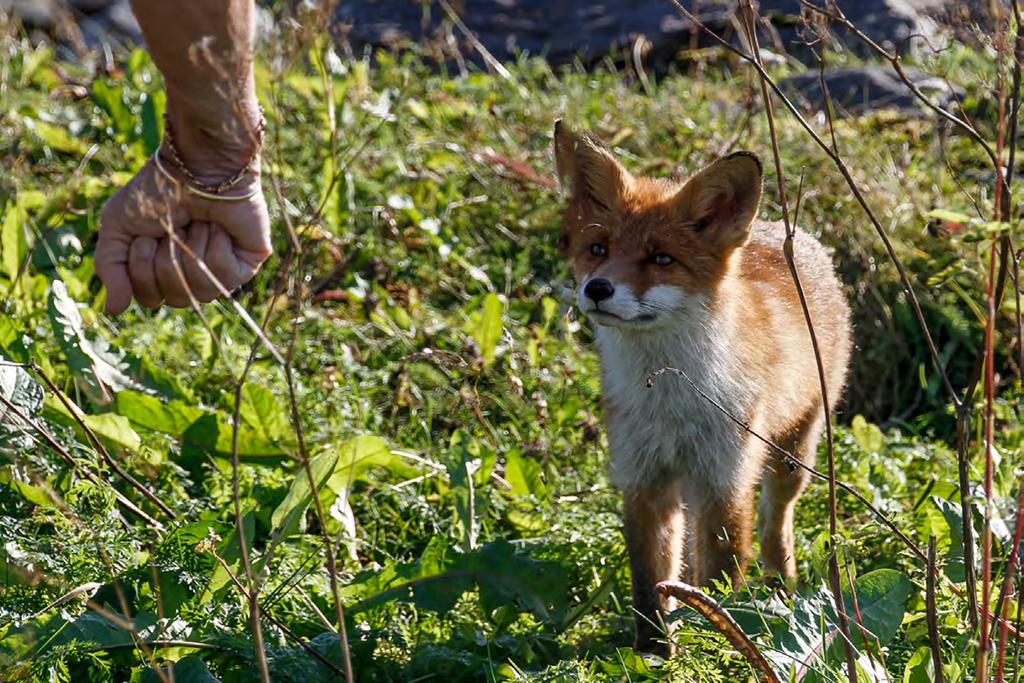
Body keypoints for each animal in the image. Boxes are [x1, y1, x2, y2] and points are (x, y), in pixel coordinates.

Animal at [557, 120, 851, 655]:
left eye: (661, 258)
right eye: (598, 250)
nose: (598, 289)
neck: (671, 401)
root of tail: (790, 234)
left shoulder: (724, 482)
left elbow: (719, 582)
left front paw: (715, 646)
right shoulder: (644, 480)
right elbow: (651, 584)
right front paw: (656, 653)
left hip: (791, 456)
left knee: (776, 525)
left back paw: (782, 589)